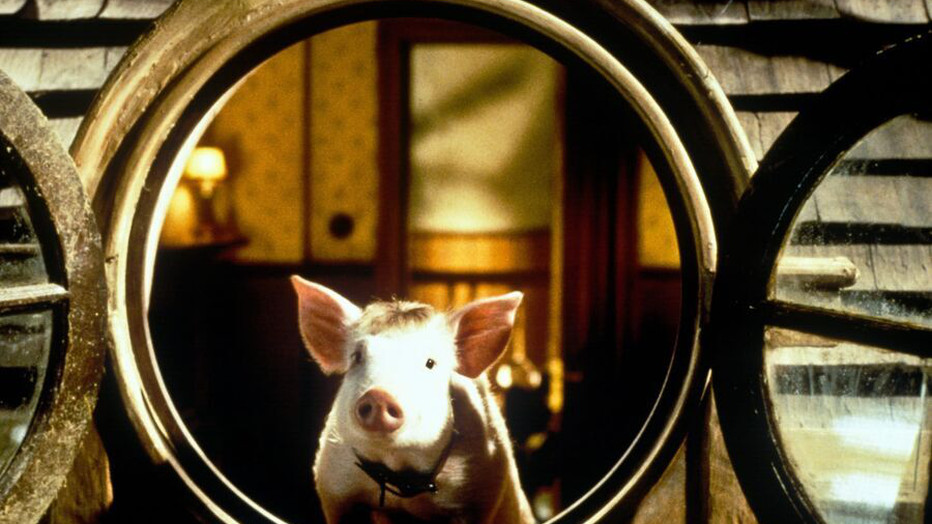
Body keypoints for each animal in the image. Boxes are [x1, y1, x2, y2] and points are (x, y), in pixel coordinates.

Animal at [291, 276, 536, 524]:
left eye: (430, 362)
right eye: (357, 357)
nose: (379, 395)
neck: (398, 467)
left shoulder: (478, 493)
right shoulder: (334, 489)